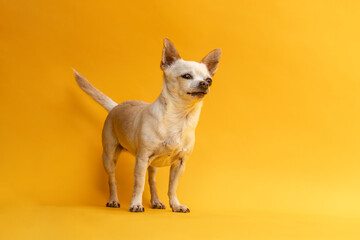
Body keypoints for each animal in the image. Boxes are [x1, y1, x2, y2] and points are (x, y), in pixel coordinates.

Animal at [74, 38, 221, 213]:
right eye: (186, 76)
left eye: (209, 80)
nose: (205, 84)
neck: (179, 118)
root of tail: (116, 107)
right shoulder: (142, 159)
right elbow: (139, 184)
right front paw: (136, 204)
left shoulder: (179, 164)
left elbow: (172, 187)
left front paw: (176, 205)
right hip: (109, 157)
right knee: (112, 179)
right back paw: (113, 200)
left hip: (153, 165)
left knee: (152, 181)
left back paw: (156, 201)